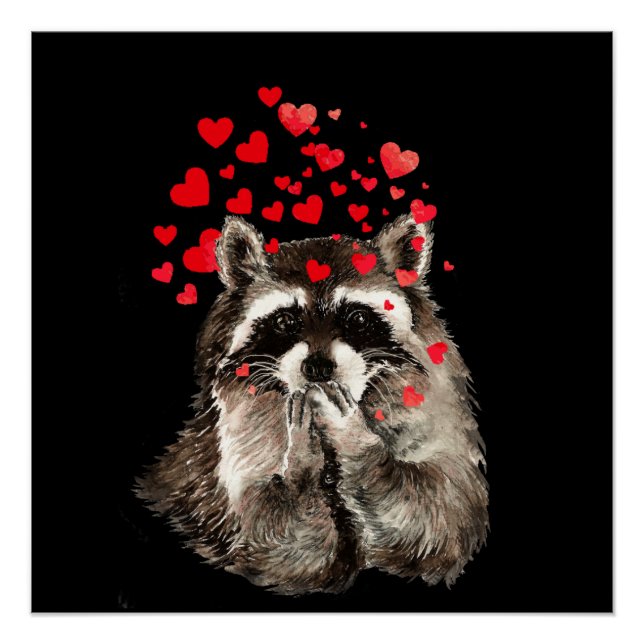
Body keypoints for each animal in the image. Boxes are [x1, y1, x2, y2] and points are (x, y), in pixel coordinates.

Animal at [136, 213, 489, 595]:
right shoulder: (227, 459)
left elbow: (437, 517)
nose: (318, 369)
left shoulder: (433, 415)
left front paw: (353, 437)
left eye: (358, 318)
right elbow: (276, 543)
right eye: (285, 320)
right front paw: (302, 463)